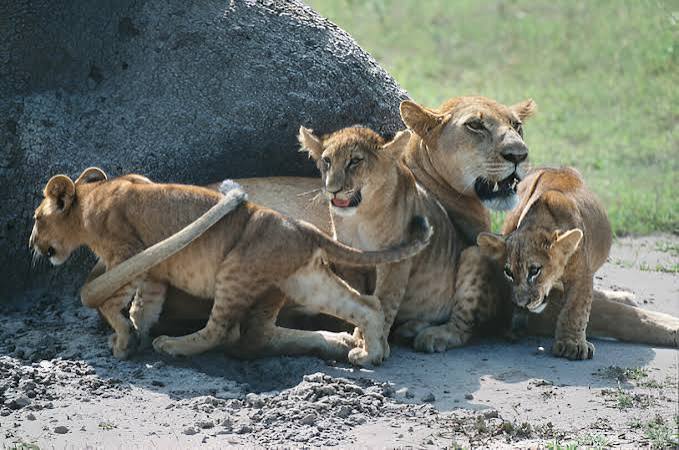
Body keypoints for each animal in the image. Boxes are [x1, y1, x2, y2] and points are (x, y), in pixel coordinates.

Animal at [30, 167, 432, 365]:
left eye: (36, 219)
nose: (32, 244)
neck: (92, 199)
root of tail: (303, 229)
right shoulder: (154, 274)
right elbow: (144, 307)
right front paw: (131, 337)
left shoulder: (127, 251)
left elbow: (116, 303)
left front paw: (126, 338)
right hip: (305, 281)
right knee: (365, 306)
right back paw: (370, 354)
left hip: (235, 271)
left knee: (222, 331)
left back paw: (174, 346)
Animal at [478, 167, 679, 358]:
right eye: (509, 273)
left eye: (535, 270)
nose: (521, 304)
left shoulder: (581, 272)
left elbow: (577, 307)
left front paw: (571, 345)